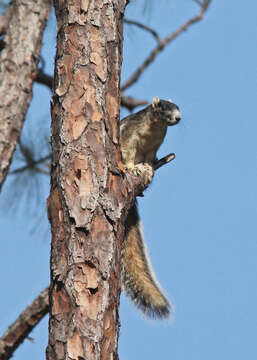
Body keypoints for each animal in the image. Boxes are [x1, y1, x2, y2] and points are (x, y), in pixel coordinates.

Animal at [119, 95, 180, 318]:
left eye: (178, 107)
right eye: (162, 108)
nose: (178, 118)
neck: (155, 129)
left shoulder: (154, 147)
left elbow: (150, 158)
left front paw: (148, 167)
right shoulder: (129, 135)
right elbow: (127, 150)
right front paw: (131, 167)